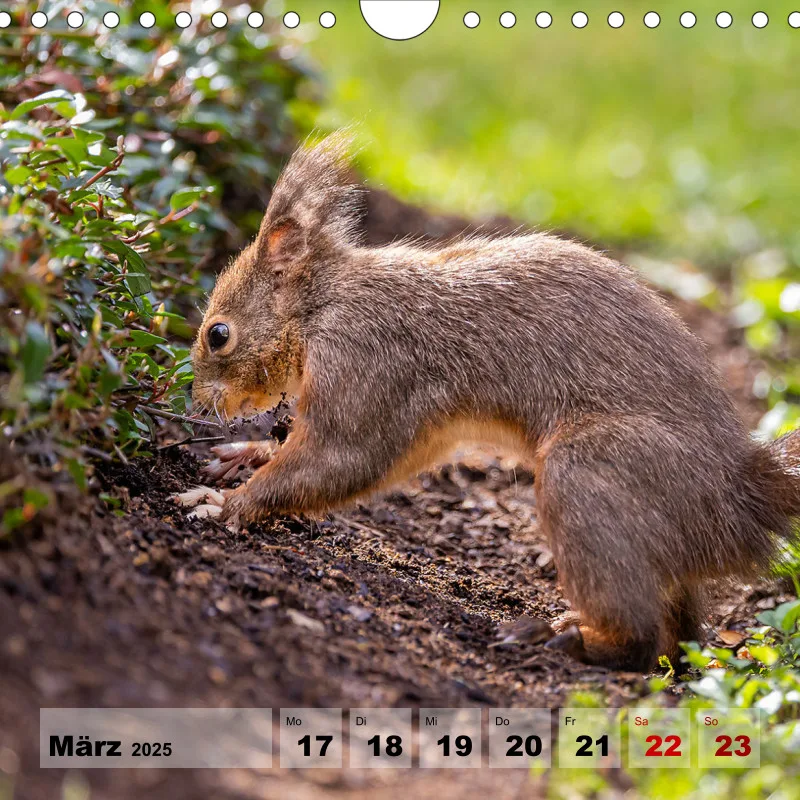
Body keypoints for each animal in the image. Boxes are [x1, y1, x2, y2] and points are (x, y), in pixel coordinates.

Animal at [188, 132, 800, 672]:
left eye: (218, 334)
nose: (198, 405)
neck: (324, 304)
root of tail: (741, 498)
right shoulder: (427, 426)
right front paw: (244, 455)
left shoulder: (368, 361)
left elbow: (343, 457)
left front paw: (229, 504)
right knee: (681, 637)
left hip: (596, 475)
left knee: (641, 642)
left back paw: (569, 641)